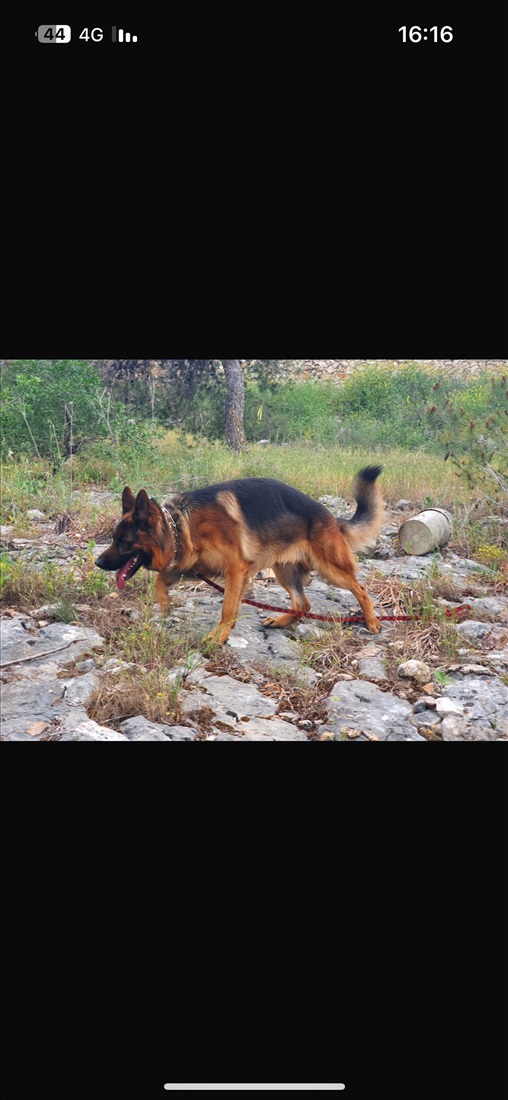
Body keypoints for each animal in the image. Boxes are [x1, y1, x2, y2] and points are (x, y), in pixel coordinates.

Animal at [95, 466, 384, 642]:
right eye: (113, 539)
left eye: (123, 541)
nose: (98, 562)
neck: (179, 524)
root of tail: (331, 517)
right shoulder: (196, 566)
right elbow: (160, 580)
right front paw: (165, 604)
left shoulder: (235, 570)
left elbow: (227, 608)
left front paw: (220, 636)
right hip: (284, 571)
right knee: (303, 604)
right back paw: (281, 620)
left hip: (330, 568)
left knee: (360, 588)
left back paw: (372, 621)